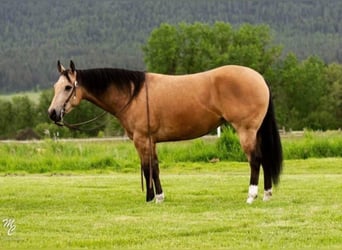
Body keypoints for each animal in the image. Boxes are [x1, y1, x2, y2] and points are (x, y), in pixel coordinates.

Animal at [48, 60, 284, 203]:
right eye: (55, 87)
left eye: (68, 87)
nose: (52, 113)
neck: (133, 94)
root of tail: (259, 78)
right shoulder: (151, 141)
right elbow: (155, 168)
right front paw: (160, 197)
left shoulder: (141, 140)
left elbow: (146, 168)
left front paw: (149, 198)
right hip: (255, 132)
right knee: (264, 159)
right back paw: (267, 194)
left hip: (246, 131)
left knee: (255, 160)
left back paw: (252, 195)